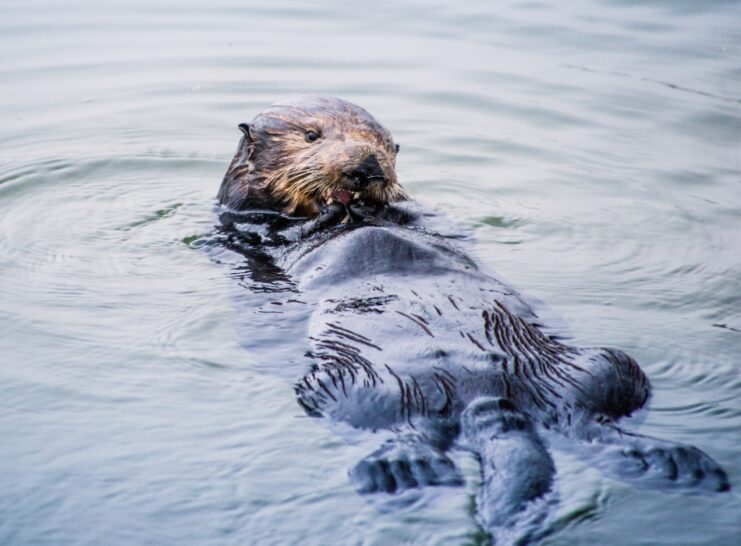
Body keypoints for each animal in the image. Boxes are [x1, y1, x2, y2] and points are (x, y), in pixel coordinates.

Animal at [214, 94, 728, 536]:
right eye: (311, 135)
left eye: (382, 142)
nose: (365, 167)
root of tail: (484, 396)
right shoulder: (246, 229)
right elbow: (279, 231)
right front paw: (332, 211)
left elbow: (424, 220)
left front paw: (378, 205)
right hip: (354, 387)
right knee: (406, 429)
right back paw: (401, 471)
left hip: (599, 369)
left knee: (589, 421)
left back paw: (675, 462)